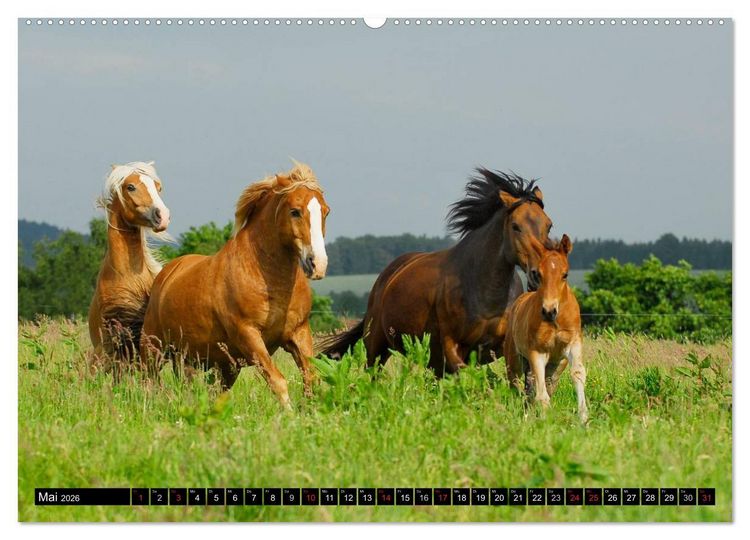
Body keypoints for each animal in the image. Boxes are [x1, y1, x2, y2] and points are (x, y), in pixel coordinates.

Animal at [140, 162, 329, 409]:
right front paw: (289, 415)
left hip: (208, 362)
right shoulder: (248, 335)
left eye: (325, 211)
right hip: (153, 348)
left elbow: (311, 378)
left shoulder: (299, 332)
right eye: (295, 211)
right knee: (148, 382)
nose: (318, 264)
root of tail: (165, 274)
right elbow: (277, 381)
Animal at [318, 168, 553, 376]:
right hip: (377, 346)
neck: (483, 290)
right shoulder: (451, 344)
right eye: (515, 226)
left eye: (548, 225)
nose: (538, 274)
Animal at [503, 234, 588, 422]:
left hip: (556, 366)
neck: (555, 321)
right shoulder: (537, 351)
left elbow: (578, 373)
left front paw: (584, 417)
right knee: (517, 385)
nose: (549, 311)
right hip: (514, 360)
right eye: (539, 274)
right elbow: (541, 393)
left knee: (540, 385)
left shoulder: (573, 344)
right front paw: (545, 419)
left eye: (565, 274)